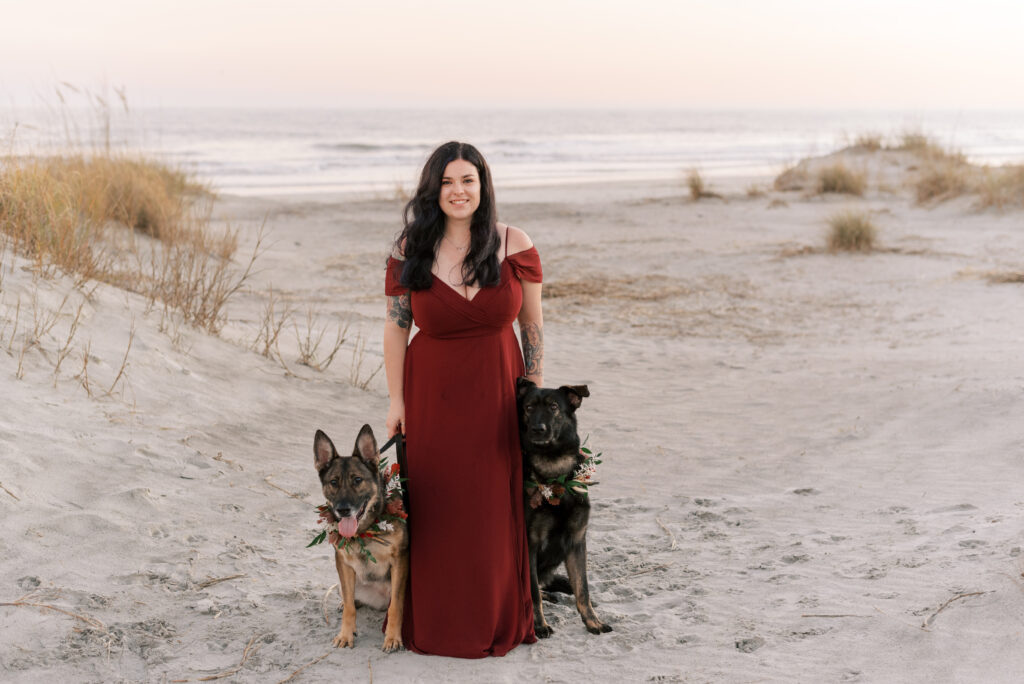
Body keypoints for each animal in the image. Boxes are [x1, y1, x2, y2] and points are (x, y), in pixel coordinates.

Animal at [311, 421, 407, 651]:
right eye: (333, 482)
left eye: (357, 480)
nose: (343, 510)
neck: (367, 527)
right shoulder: (343, 563)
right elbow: (349, 608)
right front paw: (346, 634)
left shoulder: (399, 559)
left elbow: (396, 606)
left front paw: (392, 637)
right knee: (350, 599)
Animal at [516, 376, 610, 638]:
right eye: (529, 408)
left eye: (553, 407)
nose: (537, 429)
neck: (555, 473)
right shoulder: (530, 544)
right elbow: (532, 593)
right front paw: (539, 625)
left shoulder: (577, 541)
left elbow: (583, 589)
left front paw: (592, 622)